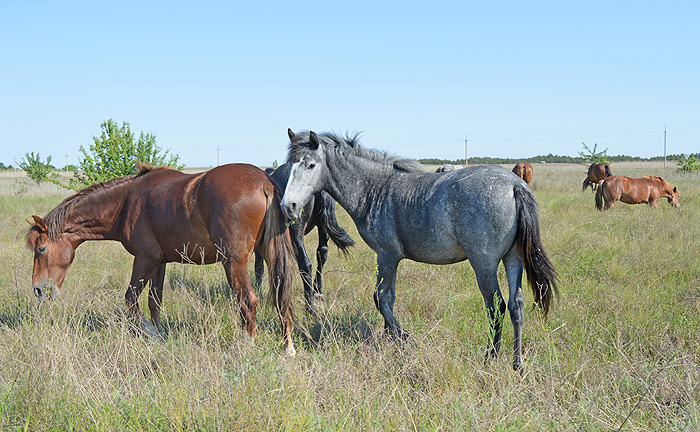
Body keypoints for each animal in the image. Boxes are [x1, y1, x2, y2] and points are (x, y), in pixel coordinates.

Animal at [26, 164, 296, 356]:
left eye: (40, 249)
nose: (38, 289)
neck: (126, 202)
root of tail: (263, 182)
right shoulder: (160, 262)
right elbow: (154, 301)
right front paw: (160, 333)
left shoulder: (145, 259)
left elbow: (131, 299)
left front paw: (150, 332)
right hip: (270, 253)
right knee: (280, 296)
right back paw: (287, 348)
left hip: (234, 262)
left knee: (248, 301)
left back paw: (244, 346)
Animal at [256, 160, 356, 312]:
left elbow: (259, 267)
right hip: (322, 227)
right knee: (322, 253)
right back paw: (318, 292)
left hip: (294, 232)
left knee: (306, 264)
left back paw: (310, 307)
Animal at [278, 130, 556, 370]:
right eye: (289, 166)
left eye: (311, 165)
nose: (287, 206)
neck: (376, 189)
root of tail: (514, 185)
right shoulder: (390, 259)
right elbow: (388, 299)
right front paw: (390, 339)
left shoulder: (387, 256)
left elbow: (381, 299)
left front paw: (404, 340)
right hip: (513, 258)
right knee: (516, 305)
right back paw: (517, 364)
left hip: (484, 263)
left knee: (496, 305)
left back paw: (490, 357)